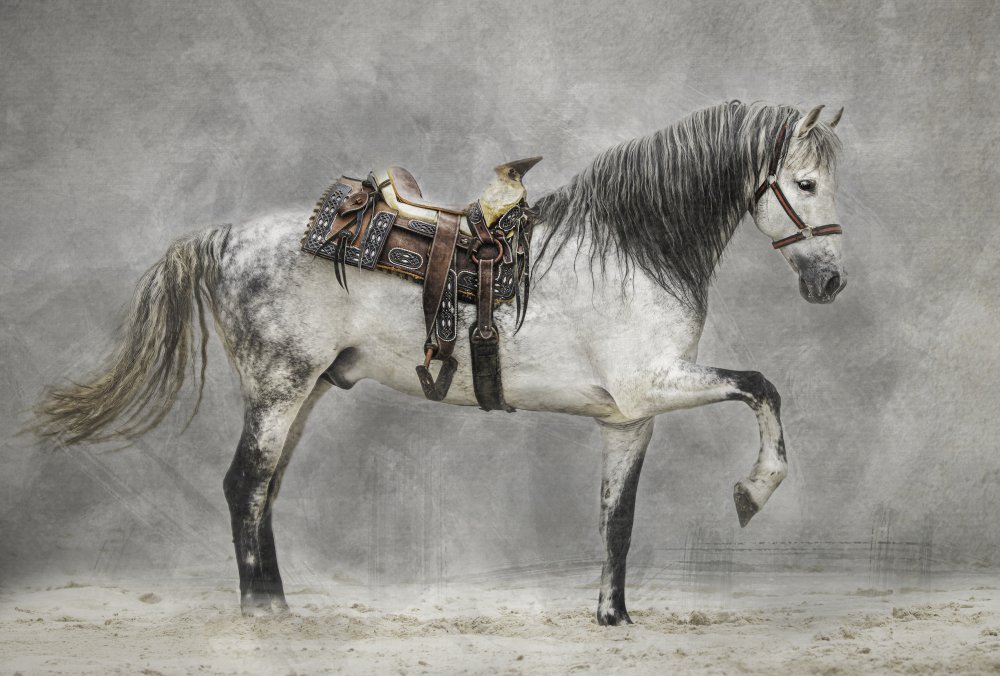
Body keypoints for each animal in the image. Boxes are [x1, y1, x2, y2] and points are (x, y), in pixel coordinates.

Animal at [33, 100, 848, 626]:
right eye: (805, 184)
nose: (831, 282)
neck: (632, 251)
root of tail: (224, 236)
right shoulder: (654, 385)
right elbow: (762, 387)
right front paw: (754, 491)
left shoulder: (630, 416)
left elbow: (616, 519)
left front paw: (613, 617)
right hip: (277, 389)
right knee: (244, 486)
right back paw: (260, 612)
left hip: (303, 394)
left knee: (265, 491)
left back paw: (281, 604)